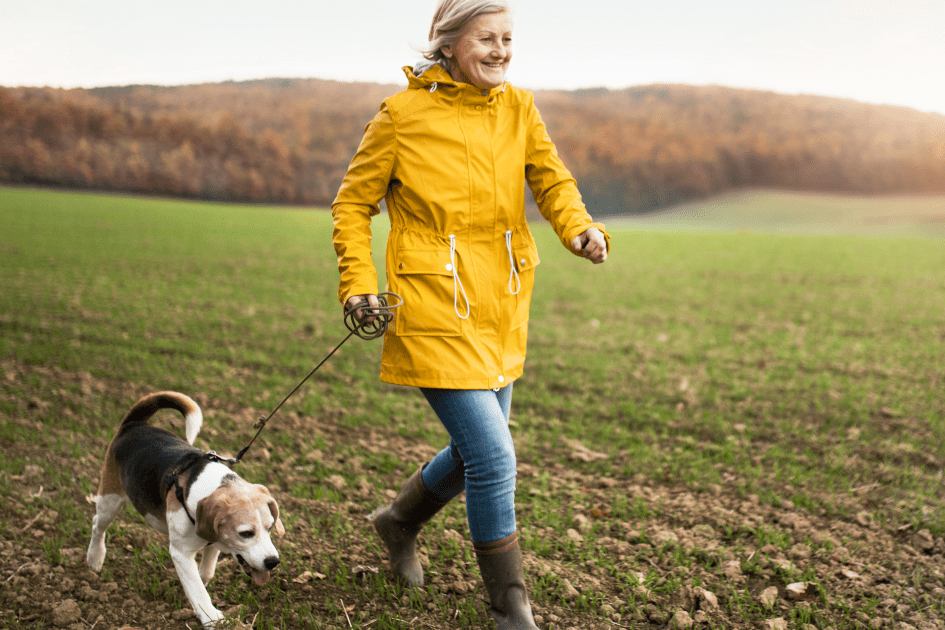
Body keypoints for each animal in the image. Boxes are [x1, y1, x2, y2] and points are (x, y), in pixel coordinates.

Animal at [86, 392, 282, 628]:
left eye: (270, 528)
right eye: (246, 533)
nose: (273, 562)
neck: (214, 486)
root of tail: (134, 423)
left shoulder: (214, 541)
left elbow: (205, 573)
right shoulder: (181, 553)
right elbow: (197, 589)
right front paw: (212, 618)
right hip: (110, 498)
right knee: (98, 525)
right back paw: (95, 558)